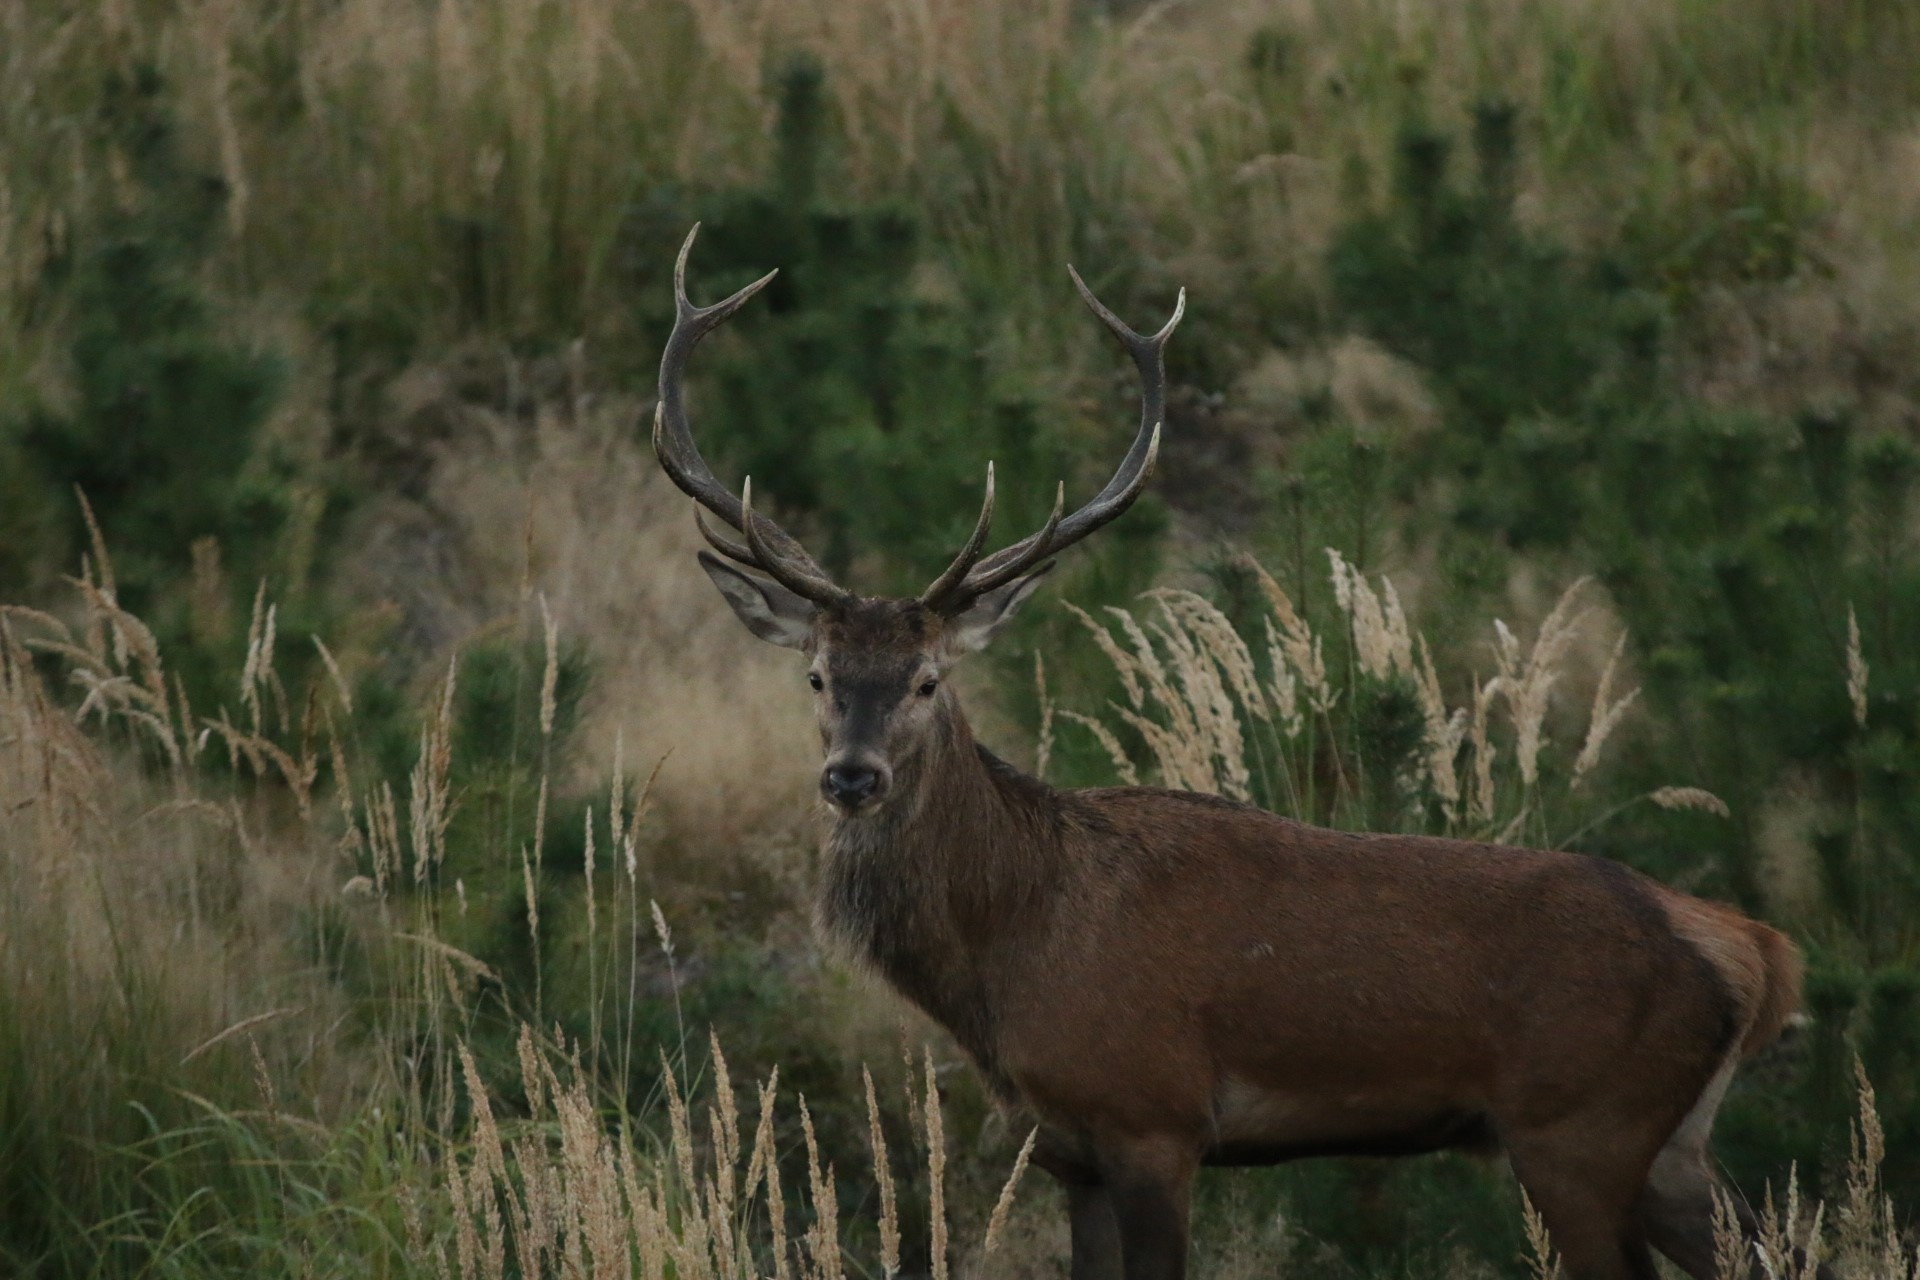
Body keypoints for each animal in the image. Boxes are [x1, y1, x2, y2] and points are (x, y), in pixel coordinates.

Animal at [652, 227, 1804, 1280]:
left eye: (930, 680)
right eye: (817, 675)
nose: (853, 775)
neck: (1013, 947)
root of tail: (1750, 947)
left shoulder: (1153, 1113)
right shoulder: (1067, 1149)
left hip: (1579, 1123)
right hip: (1668, 1144)